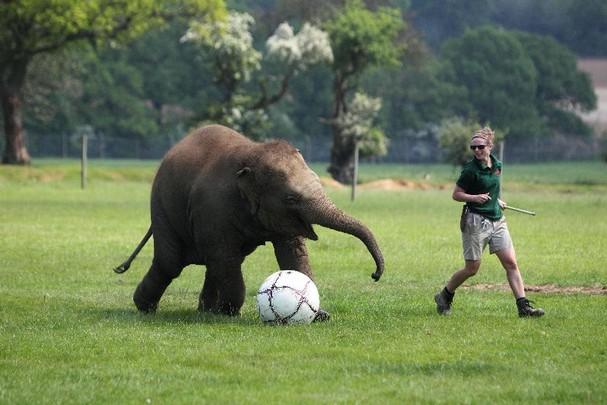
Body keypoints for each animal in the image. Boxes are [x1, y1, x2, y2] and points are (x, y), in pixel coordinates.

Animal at [114, 123, 384, 318]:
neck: (254, 152)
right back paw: (146, 308)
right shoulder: (213, 207)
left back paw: (204, 311)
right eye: (291, 198)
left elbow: (292, 253)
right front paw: (229, 313)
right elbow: (226, 256)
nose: (374, 275)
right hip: (161, 205)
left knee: (210, 264)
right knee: (172, 262)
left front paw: (321, 315)